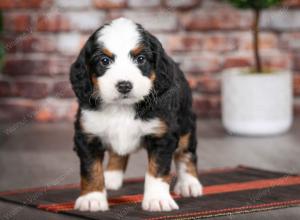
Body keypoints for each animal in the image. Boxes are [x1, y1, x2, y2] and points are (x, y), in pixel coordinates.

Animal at [69, 18, 203, 212]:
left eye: (141, 59)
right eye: (104, 60)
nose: (124, 85)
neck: (122, 108)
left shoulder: (162, 135)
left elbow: (157, 170)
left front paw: (157, 199)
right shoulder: (87, 134)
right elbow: (90, 169)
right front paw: (92, 198)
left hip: (186, 121)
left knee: (187, 153)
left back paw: (189, 183)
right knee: (118, 154)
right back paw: (111, 177)